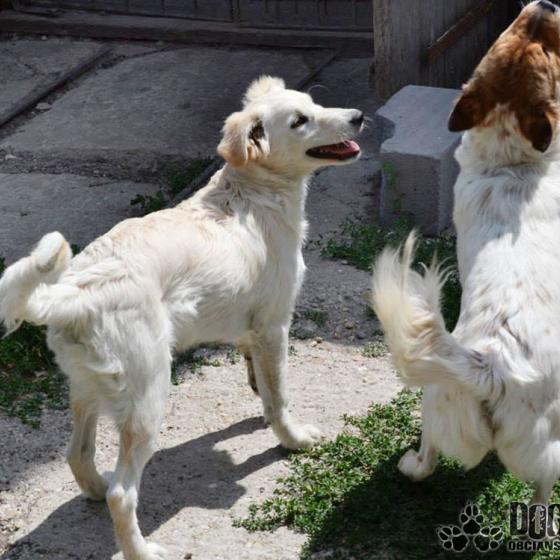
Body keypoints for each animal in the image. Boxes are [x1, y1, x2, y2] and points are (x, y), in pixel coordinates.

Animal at [0, 76, 363, 559]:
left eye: (315, 103)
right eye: (300, 120)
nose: (359, 116)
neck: (254, 192)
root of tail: (76, 289)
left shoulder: (251, 331)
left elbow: (260, 383)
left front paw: (259, 404)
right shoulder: (274, 326)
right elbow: (280, 396)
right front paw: (293, 438)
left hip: (87, 388)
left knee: (78, 455)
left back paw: (94, 488)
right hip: (148, 398)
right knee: (123, 493)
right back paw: (141, 549)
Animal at [372, 0, 560, 507]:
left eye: (509, 32)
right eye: (547, 46)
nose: (546, 4)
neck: (512, 162)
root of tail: (490, 368)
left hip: (435, 402)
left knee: (429, 456)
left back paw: (412, 467)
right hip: (549, 446)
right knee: (541, 494)